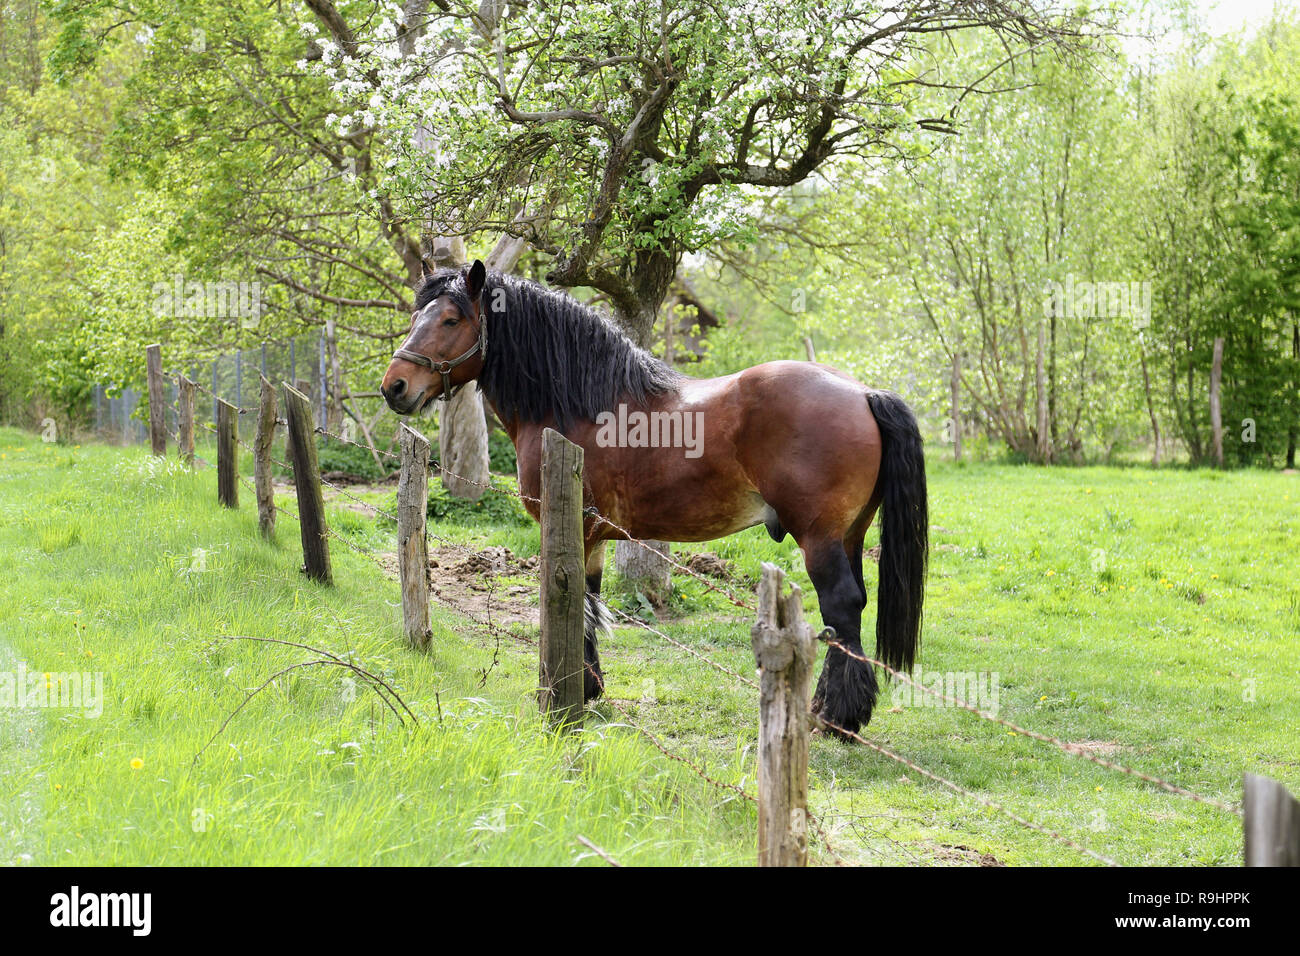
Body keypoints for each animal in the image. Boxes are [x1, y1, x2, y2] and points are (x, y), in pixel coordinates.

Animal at [381, 260, 928, 736]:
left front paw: (569, 689)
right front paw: (589, 685)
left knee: (842, 607)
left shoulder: (573, 527)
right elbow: (589, 596)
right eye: (414, 318)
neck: (578, 404)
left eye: (451, 319)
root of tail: (863, 392)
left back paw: (834, 719)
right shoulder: (595, 535)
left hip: (818, 538)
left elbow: (575, 600)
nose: (395, 387)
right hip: (849, 535)